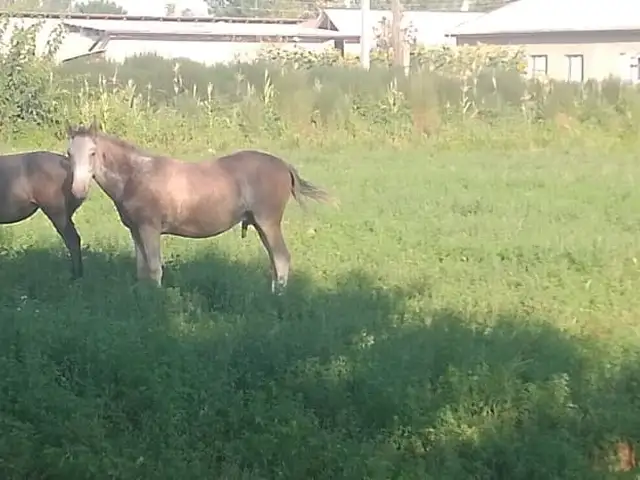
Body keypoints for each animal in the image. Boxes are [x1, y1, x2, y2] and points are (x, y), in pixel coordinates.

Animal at [65, 119, 333, 293]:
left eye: (92, 152)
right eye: (69, 153)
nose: (77, 190)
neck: (136, 175)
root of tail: (284, 165)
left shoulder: (150, 229)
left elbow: (154, 269)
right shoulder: (136, 231)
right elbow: (142, 269)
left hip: (268, 222)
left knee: (281, 257)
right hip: (260, 224)